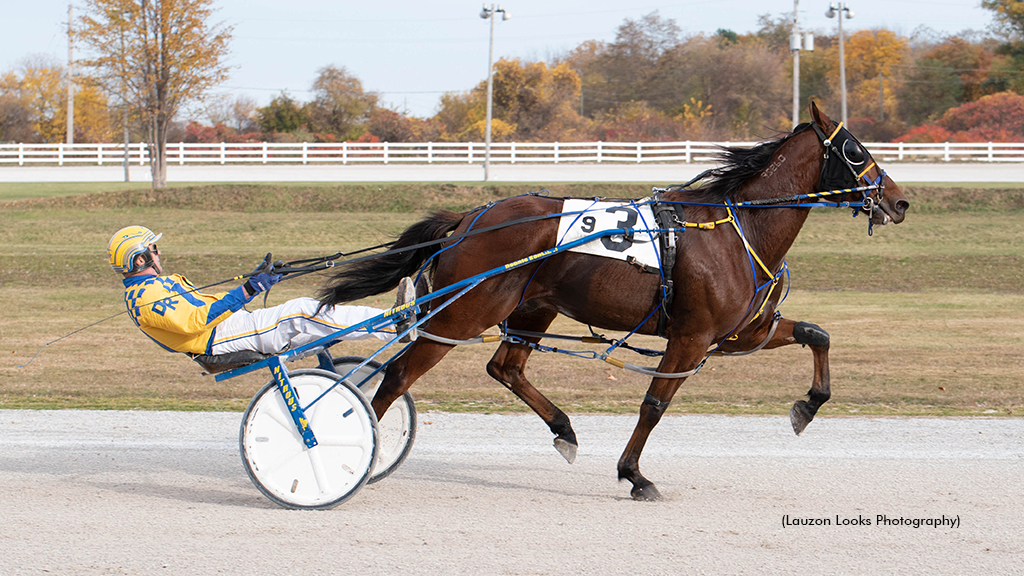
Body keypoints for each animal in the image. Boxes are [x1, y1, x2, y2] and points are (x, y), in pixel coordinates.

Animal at [319, 103, 913, 498]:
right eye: (856, 150)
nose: (899, 200)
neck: (736, 229)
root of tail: (469, 218)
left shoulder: (741, 331)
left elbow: (818, 335)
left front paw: (806, 407)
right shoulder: (690, 337)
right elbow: (654, 405)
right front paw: (635, 474)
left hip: (530, 310)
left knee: (505, 367)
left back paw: (564, 429)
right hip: (462, 314)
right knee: (398, 376)